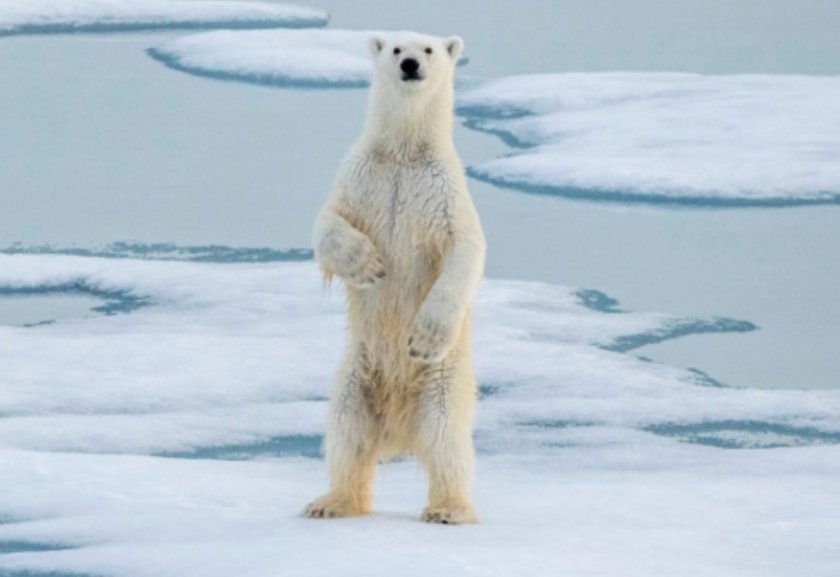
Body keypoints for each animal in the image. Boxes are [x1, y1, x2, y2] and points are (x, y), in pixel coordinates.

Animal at [304, 32, 486, 528]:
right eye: (396, 48)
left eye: (429, 50)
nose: (409, 65)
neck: (404, 152)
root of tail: (399, 430)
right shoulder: (359, 176)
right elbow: (328, 222)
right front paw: (368, 265)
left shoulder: (445, 193)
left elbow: (464, 250)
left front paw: (422, 337)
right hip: (356, 374)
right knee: (346, 431)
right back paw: (330, 501)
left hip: (443, 382)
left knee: (446, 439)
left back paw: (448, 509)